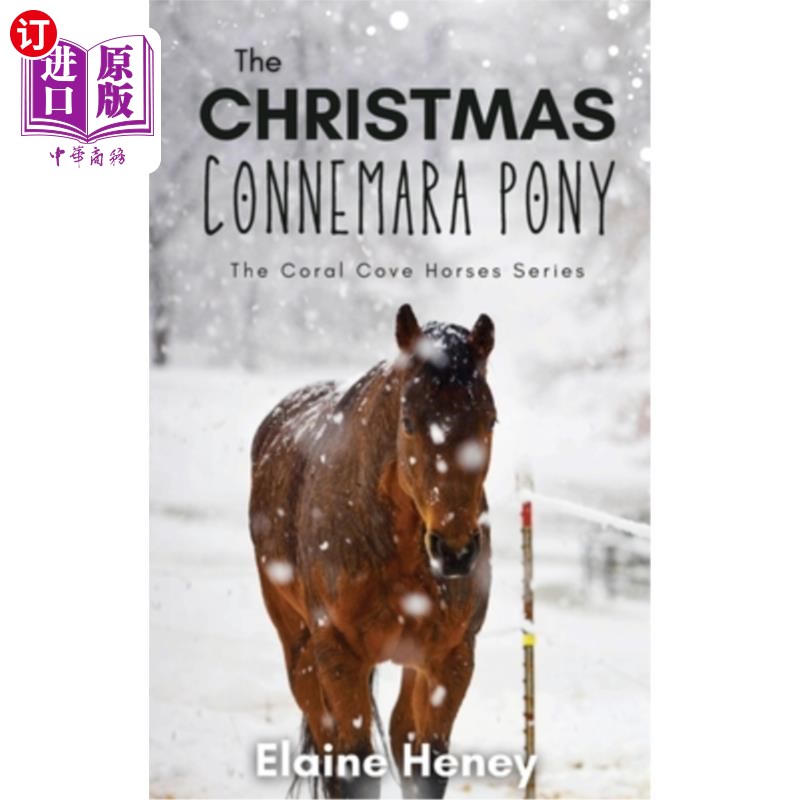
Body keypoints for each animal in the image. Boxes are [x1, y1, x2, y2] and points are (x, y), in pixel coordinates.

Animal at [249, 304, 496, 798]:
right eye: (409, 423)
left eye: (491, 421)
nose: (455, 551)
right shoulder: (339, 654)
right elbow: (357, 770)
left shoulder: (452, 656)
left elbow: (425, 765)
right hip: (300, 651)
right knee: (329, 749)